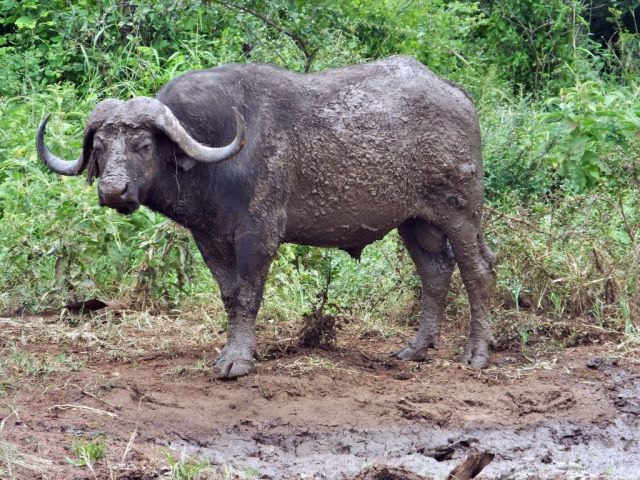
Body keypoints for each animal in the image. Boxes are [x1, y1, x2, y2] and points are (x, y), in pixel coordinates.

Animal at [37, 55, 494, 378]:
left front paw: (237, 360)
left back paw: (477, 352)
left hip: (460, 212)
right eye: (99, 146)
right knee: (435, 271)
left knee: (477, 271)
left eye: (143, 144)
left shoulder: (260, 234)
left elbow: (247, 295)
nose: (113, 191)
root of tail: (459, 97)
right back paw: (416, 348)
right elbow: (228, 295)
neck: (215, 155)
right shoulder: (208, 237)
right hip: (414, 222)